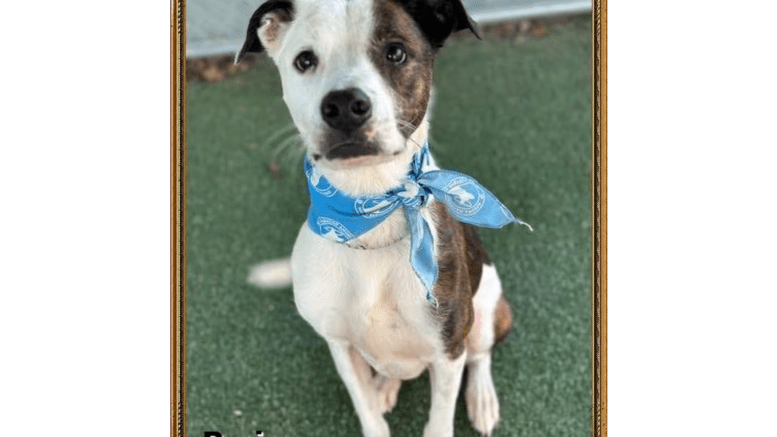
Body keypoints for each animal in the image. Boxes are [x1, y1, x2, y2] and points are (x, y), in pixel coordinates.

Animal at [236, 1, 528, 434]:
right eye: (304, 60)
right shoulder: (340, 347)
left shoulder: (448, 349)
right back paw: (387, 386)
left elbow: (440, 419)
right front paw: (377, 400)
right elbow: (368, 412)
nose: (343, 105)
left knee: (481, 355)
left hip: (487, 308)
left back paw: (482, 398)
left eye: (396, 53)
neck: (371, 214)